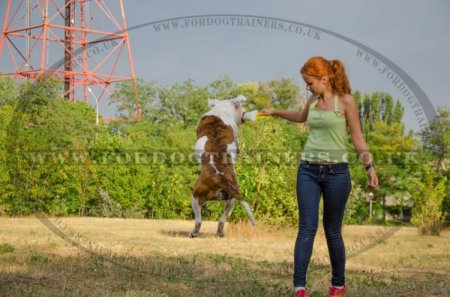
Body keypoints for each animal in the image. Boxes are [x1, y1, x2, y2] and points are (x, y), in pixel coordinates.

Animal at [189, 96, 256, 237]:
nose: (245, 111)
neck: (221, 109)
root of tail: (221, 179)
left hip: (195, 196)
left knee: (198, 221)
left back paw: (193, 233)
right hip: (232, 200)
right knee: (222, 219)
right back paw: (220, 232)